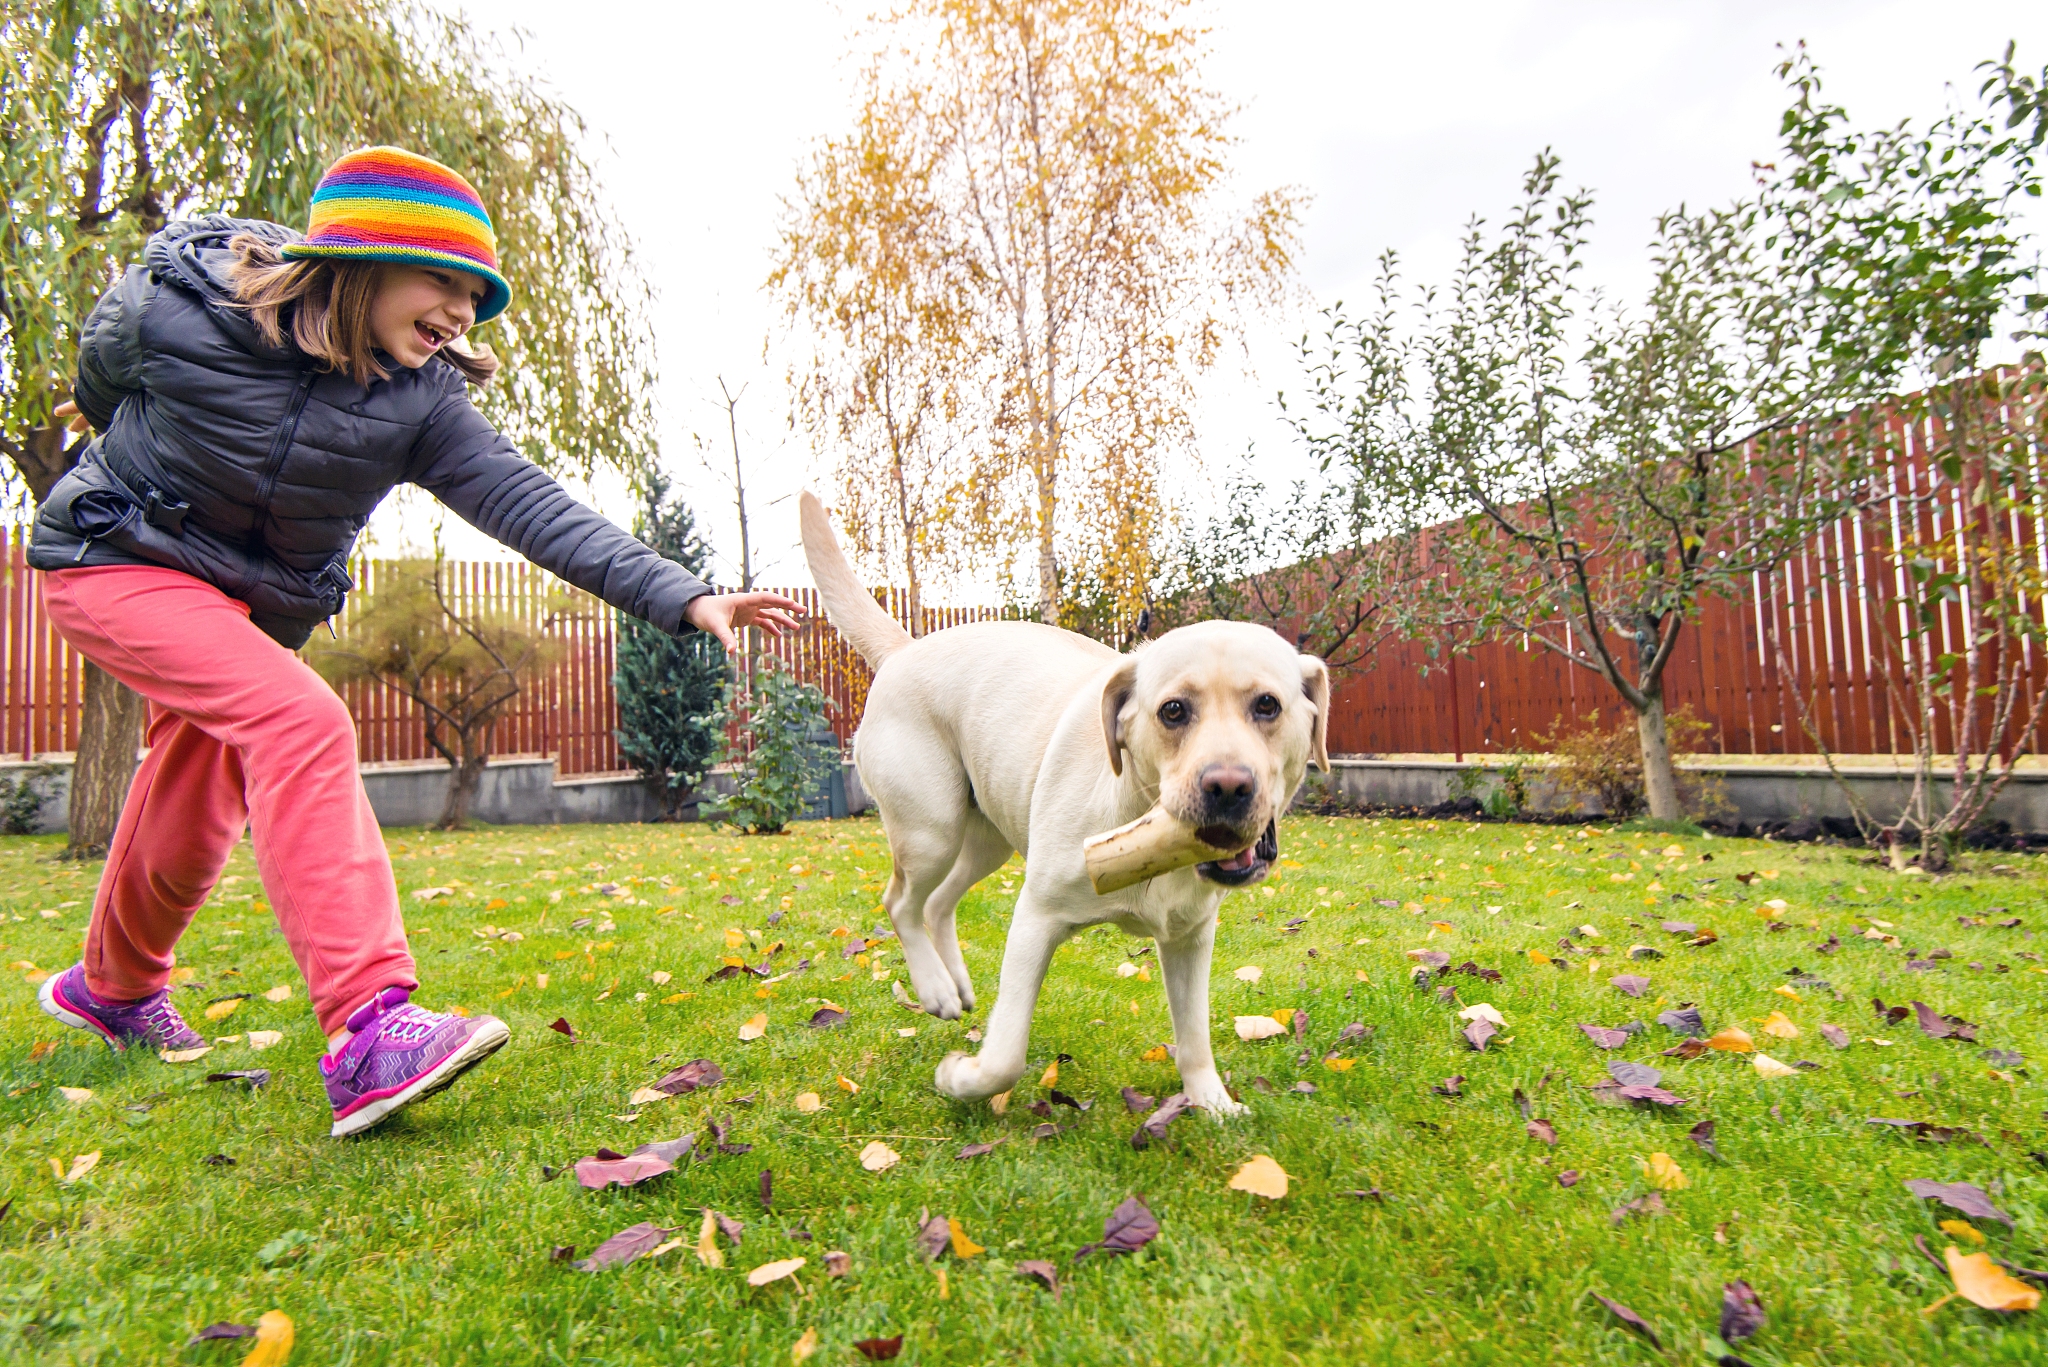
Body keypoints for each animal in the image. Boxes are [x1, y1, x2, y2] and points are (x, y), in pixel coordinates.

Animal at [798, 498, 1327, 1114]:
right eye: (1173, 711)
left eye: (1268, 705)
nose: (1226, 786)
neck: (1137, 814)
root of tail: (907, 649)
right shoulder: (1036, 917)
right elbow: (1004, 1056)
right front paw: (960, 1079)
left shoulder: (1190, 937)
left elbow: (1195, 1037)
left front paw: (1213, 1103)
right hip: (931, 829)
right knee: (901, 901)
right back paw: (933, 989)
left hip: (988, 841)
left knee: (938, 903)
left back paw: (955, 984)